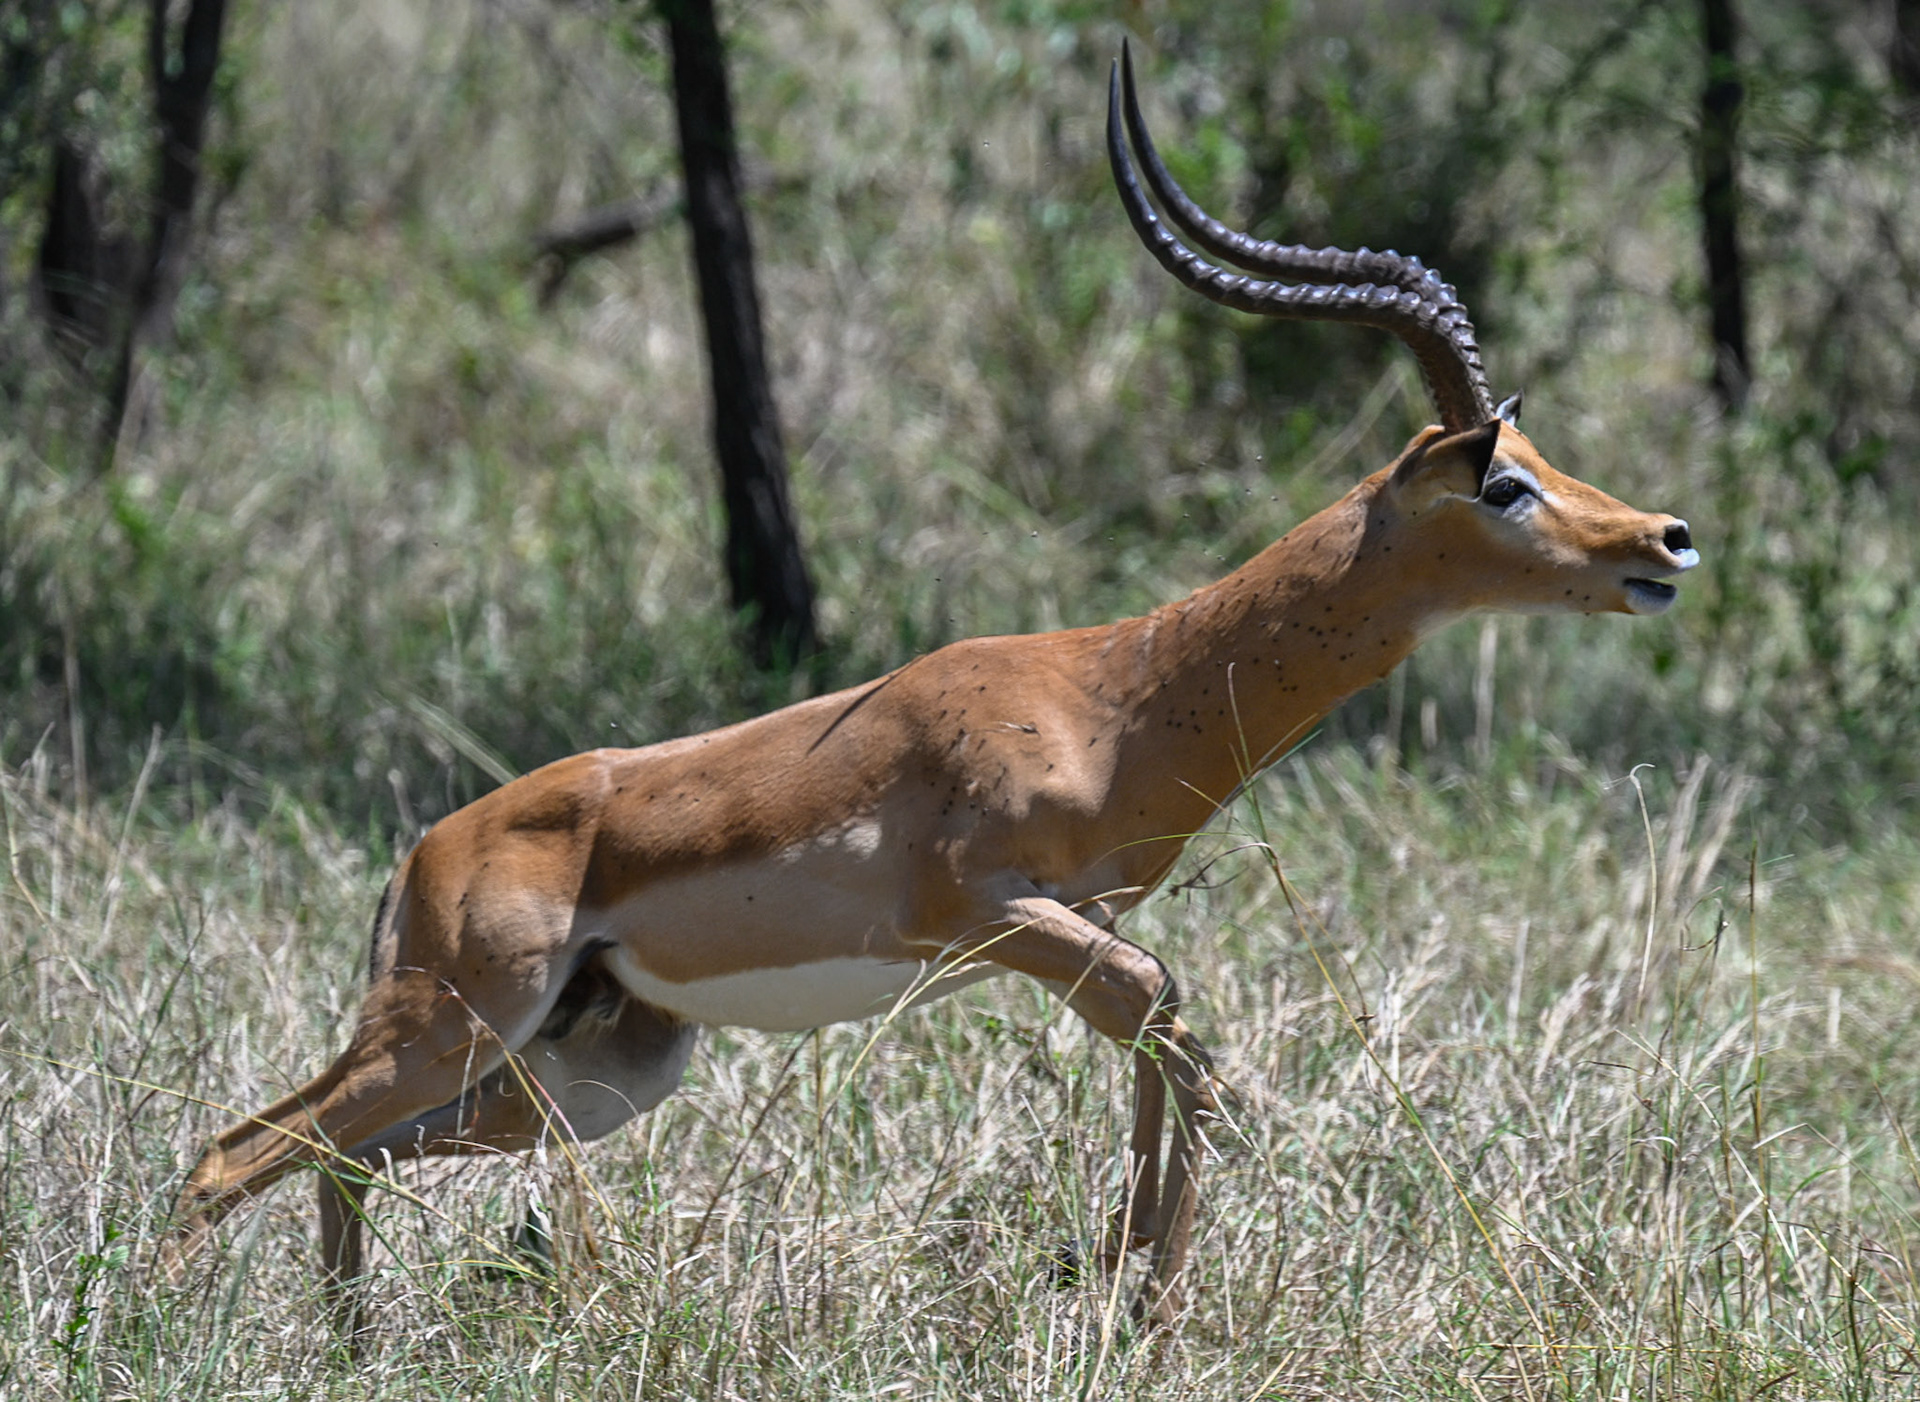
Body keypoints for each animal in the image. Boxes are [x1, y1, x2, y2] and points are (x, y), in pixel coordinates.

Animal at [165, 49, 1698, 1327]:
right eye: (1504, 481)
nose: (1667, 539)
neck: (1117, 691)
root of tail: (428, 849)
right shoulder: (990, 912)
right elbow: (1178, 1029)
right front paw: (1131, 1285)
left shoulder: (1081, 921)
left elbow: (1171, 1041)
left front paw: (1135, 1285)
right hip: (461, 1022)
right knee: (234, 1148)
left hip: (590, 1066)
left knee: (342, 1159)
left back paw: (352, 1341)